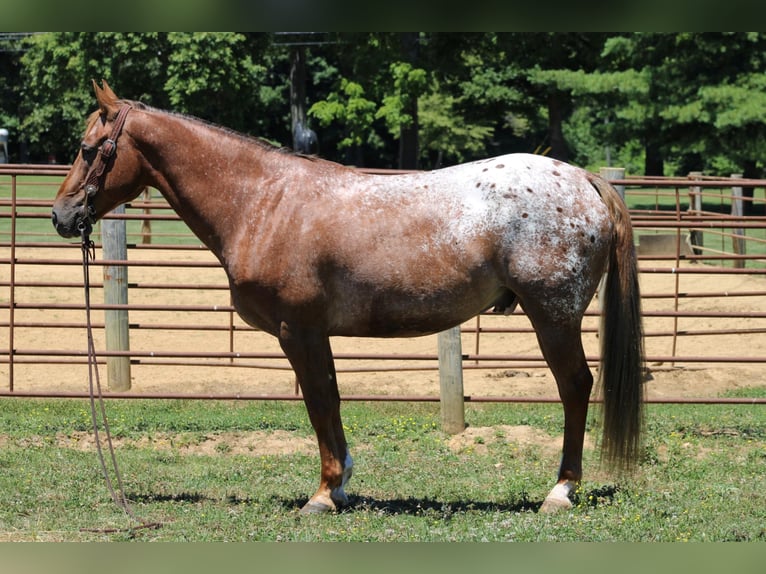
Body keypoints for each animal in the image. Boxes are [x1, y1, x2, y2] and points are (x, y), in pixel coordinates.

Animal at [51, 81, 644, 516]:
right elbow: (332, 400)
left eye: (87, 150)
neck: (264, 201)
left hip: (554, 318)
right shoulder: (316, 334)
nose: (60, 216)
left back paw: (560, 491)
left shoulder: (299, 331)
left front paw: (322, 494)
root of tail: (583, 178)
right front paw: (338, 486)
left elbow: (319, 403)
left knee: (575, 387)